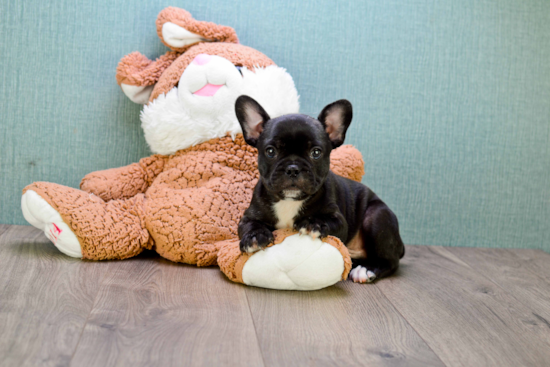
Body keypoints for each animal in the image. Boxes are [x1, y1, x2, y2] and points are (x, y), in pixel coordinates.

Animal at [235, 95, 408, 284]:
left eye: (316, 153)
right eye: (271, 151)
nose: (293, 168)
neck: (290, 201)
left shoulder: (339, 221)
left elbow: (325, 220)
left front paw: (313, 223)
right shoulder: (249, 216)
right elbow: (250, 225)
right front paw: (255, 236)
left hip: (376, 217)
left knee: (390, 261)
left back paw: (366, 270)